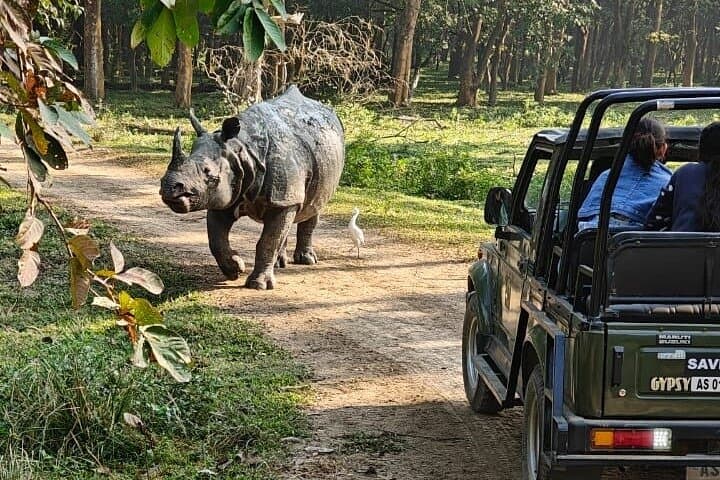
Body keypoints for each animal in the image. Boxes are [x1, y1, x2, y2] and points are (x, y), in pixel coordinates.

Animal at [160, 86, 345, 289]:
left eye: (209, 174)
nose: (169, 187)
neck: (241, 149)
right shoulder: (224, 195)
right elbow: (216, 240)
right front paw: (235, 269)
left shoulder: (278, 195)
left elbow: (268, 241)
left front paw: (258, 285)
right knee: (290, 215)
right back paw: (280, 263)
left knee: (313, 205)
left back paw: (306, 260)